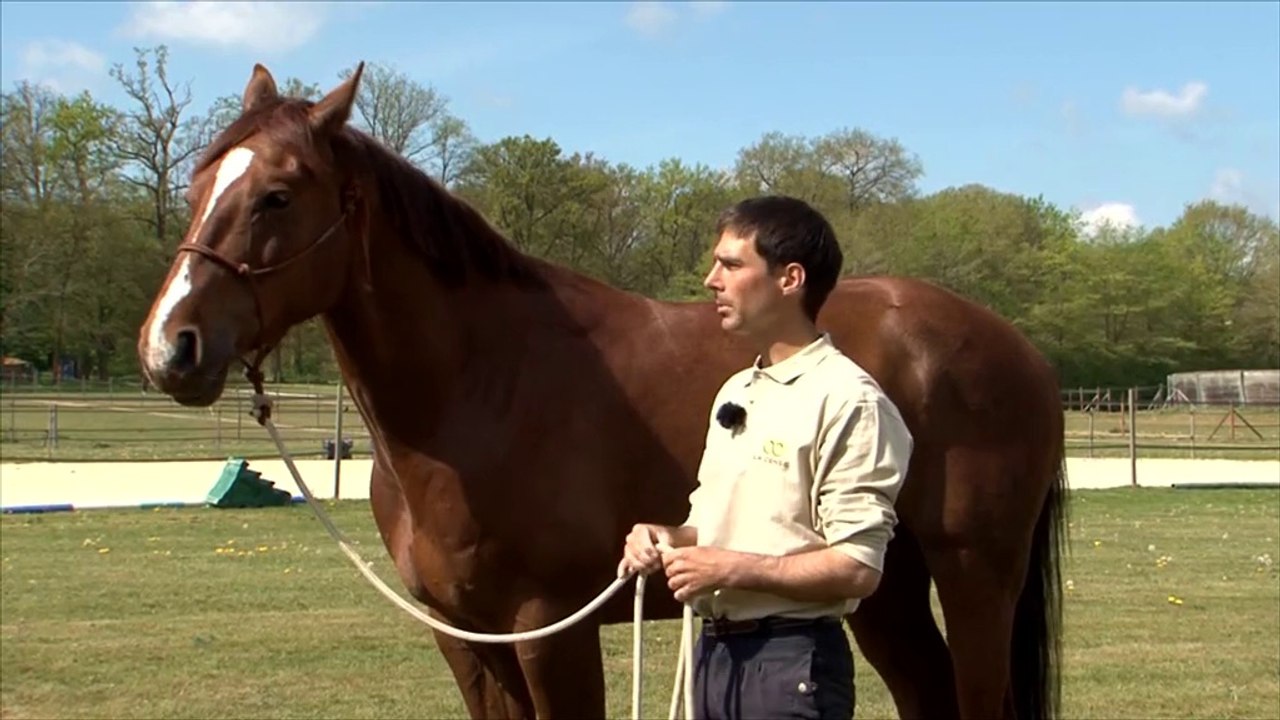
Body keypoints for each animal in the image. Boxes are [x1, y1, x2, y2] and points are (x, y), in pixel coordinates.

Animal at [136, 63, 1067, 720]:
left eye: (276, 195)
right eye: (197, 186)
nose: (169, 346)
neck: (479, 392)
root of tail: (1018, 348)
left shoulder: (551, 632)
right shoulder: (469, 642)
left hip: (974, 576)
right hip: (882, 590)